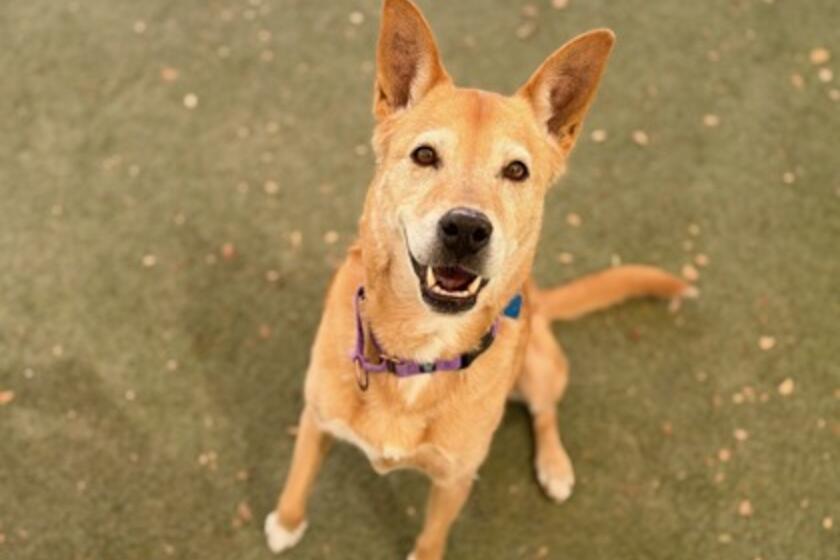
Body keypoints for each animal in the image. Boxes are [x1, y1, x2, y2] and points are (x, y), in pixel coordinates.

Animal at [265, 1, 694, 558]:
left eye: (516, 170)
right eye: (425, 155)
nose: (467, 229)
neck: (418, 351)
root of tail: (538, 298)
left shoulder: (455, 479)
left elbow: (432, 536)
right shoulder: (315, 420)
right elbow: (299, 476)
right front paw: (287, 519)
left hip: (542, 367)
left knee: (546, 411)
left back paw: (555, 466)